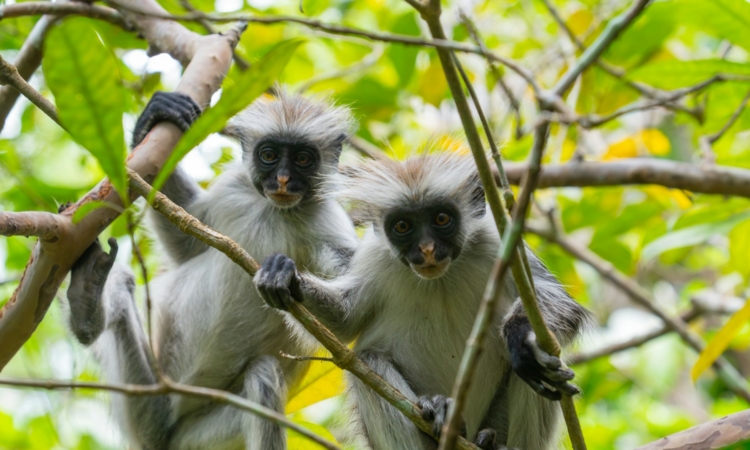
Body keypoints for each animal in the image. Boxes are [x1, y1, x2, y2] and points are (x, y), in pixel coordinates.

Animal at [65, 89, 359, 449]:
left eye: (303, 159)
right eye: (269, 155)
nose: (283, 179)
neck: (275, 209)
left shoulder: (328, 223)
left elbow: (347, 321)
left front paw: (287, 278)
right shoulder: (233, 188)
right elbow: (185, 244)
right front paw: (153, 116)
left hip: (195, 435)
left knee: (262, 377)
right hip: (143, 397)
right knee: (120, 286)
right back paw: (86, 304)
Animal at [254, 151, 591, 450]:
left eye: (441, 218)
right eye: (403, 226)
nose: (427, 249)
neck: (440, 279)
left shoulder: (497, 243)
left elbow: (558, 305)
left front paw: (521, 338)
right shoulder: (376, 256)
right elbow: (344, 321)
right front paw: (287, 277)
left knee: (537, 368)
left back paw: (497, 440)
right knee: (369, 361)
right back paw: (438, 410)